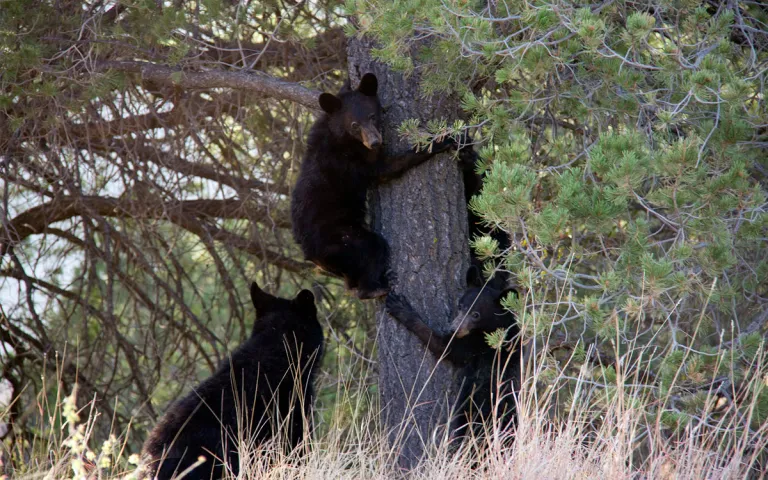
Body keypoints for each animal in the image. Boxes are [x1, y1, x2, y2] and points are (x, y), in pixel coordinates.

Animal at [291, 73, 463, 300]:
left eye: (372, 116)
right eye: (355, 125)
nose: (374, 142)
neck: (341, 137)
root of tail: (311, 255)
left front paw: (350, 78)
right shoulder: (350, 162)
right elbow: (386, 168)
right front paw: (440, 141)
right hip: (342, 239)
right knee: (373, 247)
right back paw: (374, 288)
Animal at [384, 266, 520, 444]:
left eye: (476, 314)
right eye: (460, 305)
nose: (453, 329)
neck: (499, 326)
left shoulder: (478, 343)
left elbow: (446, 348)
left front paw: (400, 307)